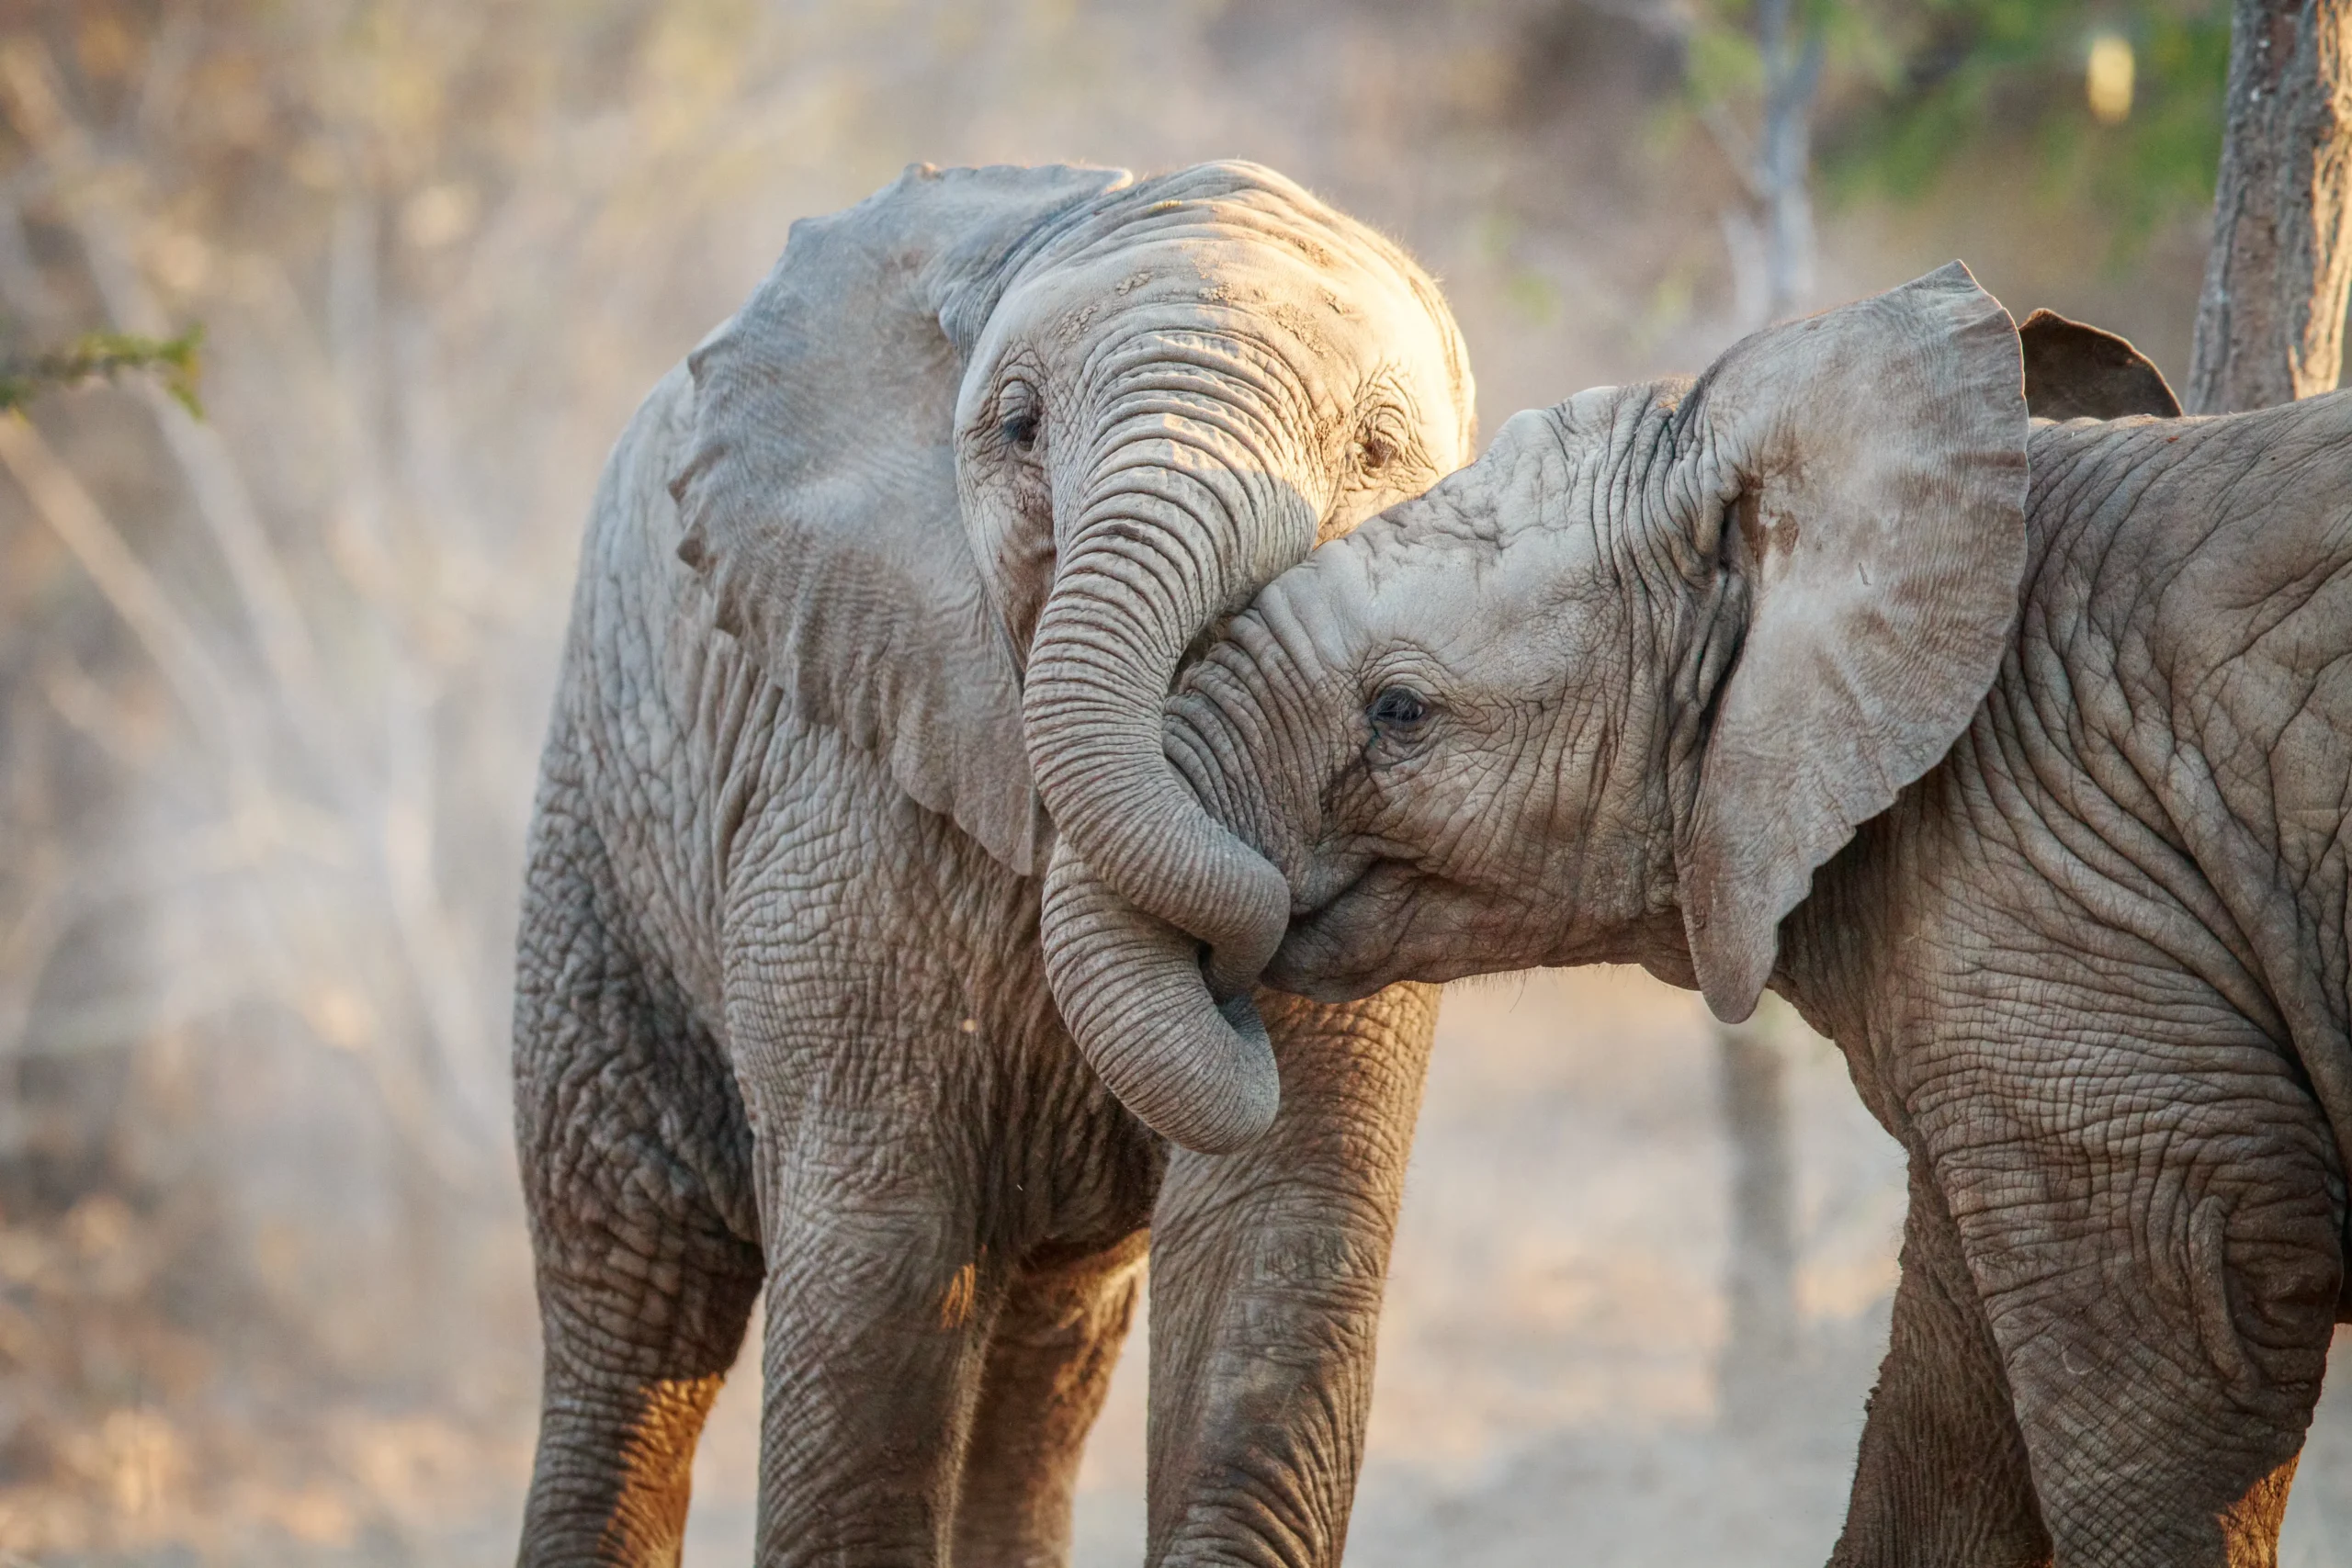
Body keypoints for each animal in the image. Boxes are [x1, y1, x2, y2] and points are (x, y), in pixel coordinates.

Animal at [510, 160, 1474, 1566]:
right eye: (1018, 428)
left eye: (1377, 453)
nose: (1238, 961)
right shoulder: (839, 779)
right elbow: (884, 1262)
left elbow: (1275, 1235)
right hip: (600, 826)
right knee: (630, 1287)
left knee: (1045, 1350)